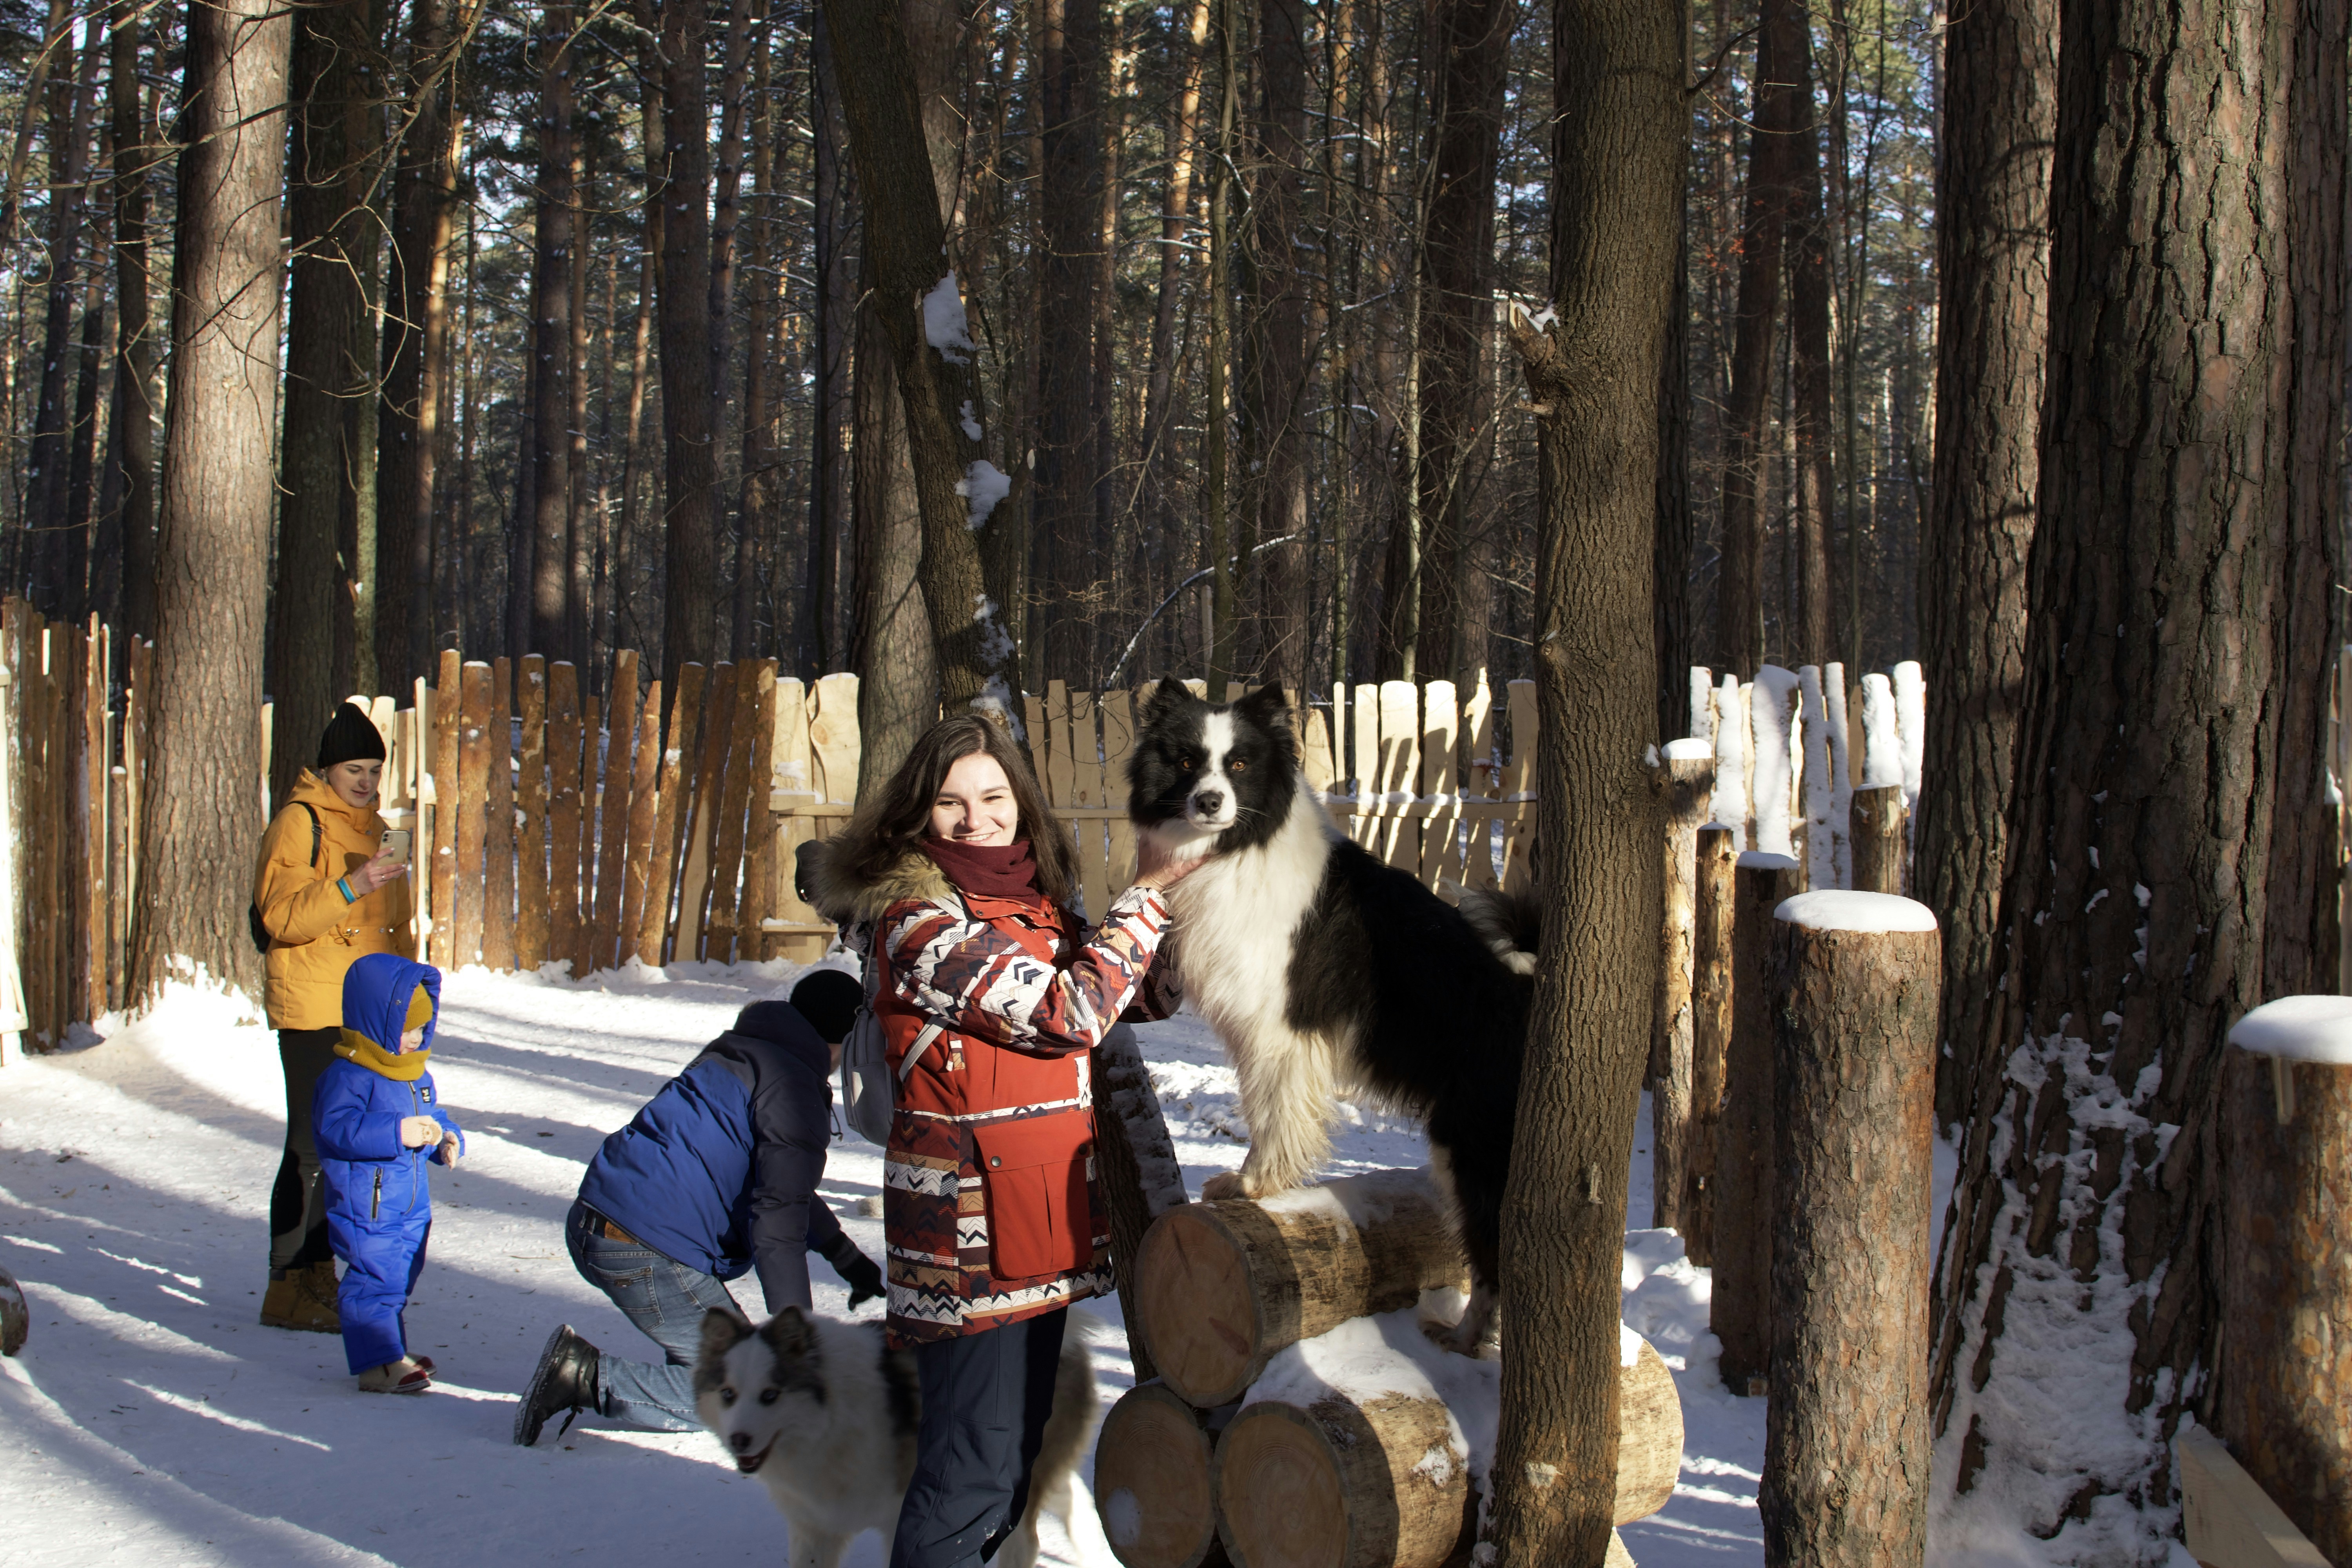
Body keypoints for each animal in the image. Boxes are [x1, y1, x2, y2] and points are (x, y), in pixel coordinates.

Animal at [695, 1306, 1101, 1567]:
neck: (828, 1418)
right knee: (1076, 1503)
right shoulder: (815, 1529)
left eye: (770, 1395)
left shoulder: (900, 1519)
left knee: (1025, 1543)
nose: (740, 1440)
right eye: (728, 1394)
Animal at [1127, 681, 1539, 1353]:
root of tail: (1528, 990)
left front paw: (1252, 1185)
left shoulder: (1280, 1034)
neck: (1243, 848)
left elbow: (1270, 1114)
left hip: (1472, 1144)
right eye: (1186, 760)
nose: (1209, 801)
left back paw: (1459, 1338)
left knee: (1496, 1262)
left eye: (1239, 764)